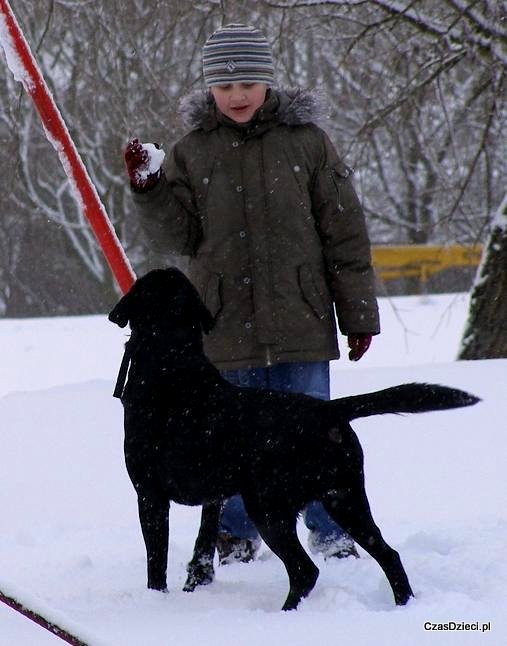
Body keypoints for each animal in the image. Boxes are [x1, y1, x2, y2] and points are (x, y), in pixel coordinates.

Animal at [108, 268, 480, 612]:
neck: (171, 357)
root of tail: (327, 410)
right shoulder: (214, 499)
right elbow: (202, 548)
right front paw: (192, 588)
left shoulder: (150, 494)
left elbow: (156, 561)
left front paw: (156, 600)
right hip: (345, 497)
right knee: (389, 554)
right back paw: (403, 605)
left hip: (269, 507)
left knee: (305, 570)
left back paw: (284, 615)